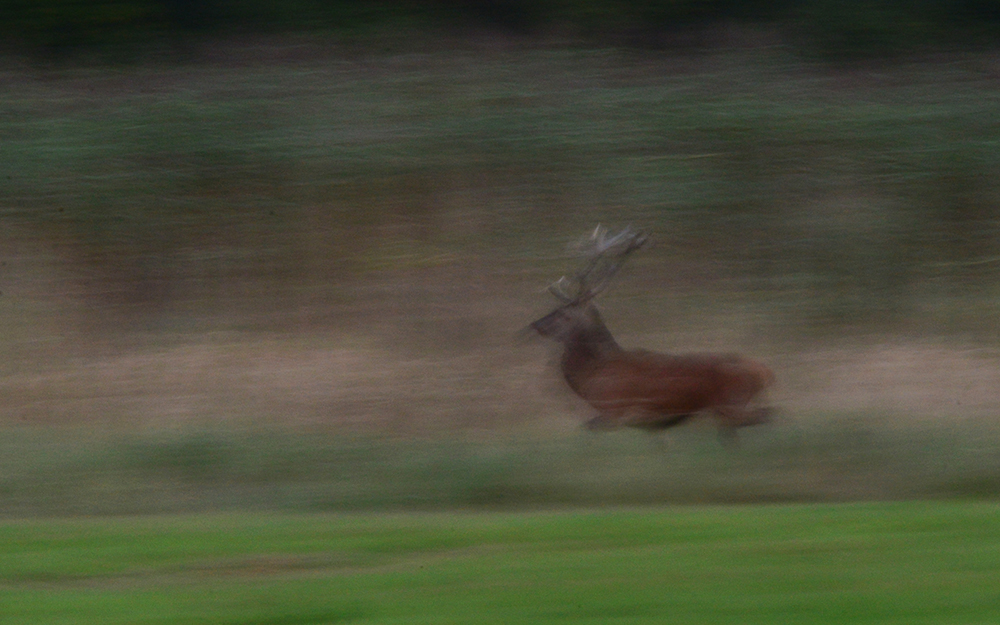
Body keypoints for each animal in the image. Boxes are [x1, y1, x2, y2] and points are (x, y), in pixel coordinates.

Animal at [528, 225, 776, 444]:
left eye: (562, 313)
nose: (536, 324)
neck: (592, 377)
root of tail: (766, 372)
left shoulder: (619, 410)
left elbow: (588, 429)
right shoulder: (647, 425)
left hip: (731, 400)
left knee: (765, 415)